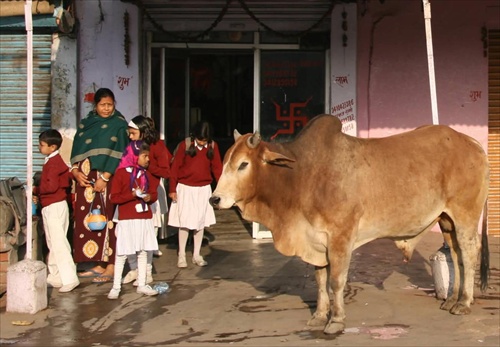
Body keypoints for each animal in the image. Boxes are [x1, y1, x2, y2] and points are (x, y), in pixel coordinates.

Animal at [209, 115, 490, 336]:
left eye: (243, 164)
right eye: (225, 162)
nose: (215, 199)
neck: (301, 175)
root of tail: (472, 143)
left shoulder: (340, 236)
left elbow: (336, 281)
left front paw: (336, 320)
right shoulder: (317, 240)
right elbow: (320, 280)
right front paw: (318, 316)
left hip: (465, 216)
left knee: (468, 252)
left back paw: (464, 302)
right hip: (446, 220)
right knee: (455, 254)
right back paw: (451, 300)